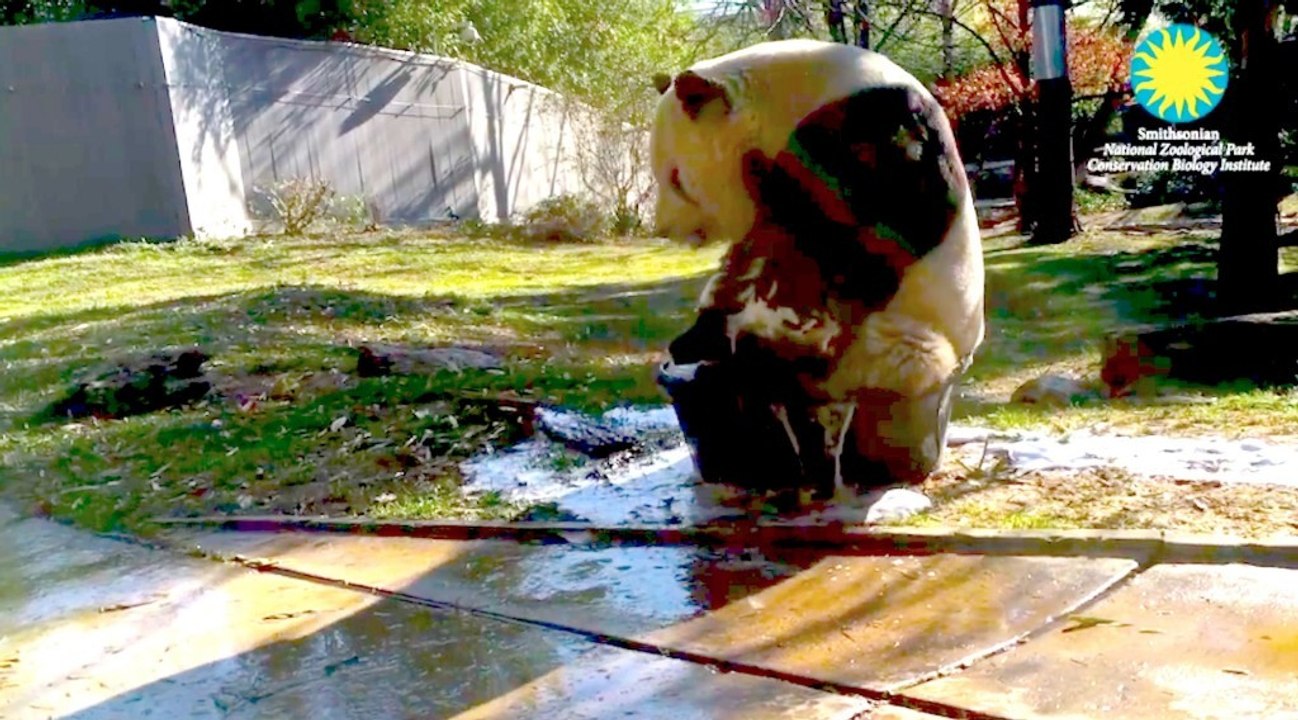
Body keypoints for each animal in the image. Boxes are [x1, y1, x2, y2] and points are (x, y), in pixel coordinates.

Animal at [651, 39, 985, 494]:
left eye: (677, 180)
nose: (664, 229)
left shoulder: (872, 130)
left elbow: (853, 239)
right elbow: (750, 257)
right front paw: (699, 337)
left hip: (899, 341)